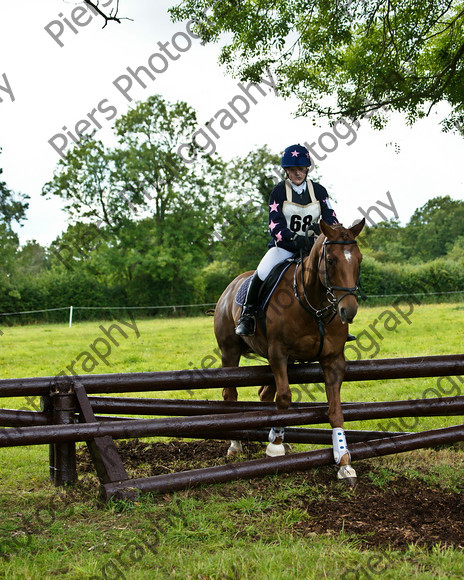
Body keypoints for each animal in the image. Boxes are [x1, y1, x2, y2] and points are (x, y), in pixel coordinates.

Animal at [215, 216, 366, 480]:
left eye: (359, 259)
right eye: (330, 260)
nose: (348, 311)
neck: (314, 305)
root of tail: (231, 286)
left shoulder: (333, 360)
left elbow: (335, 411)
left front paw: (344, 461)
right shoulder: (278, 353)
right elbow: (284, 399)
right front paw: (275, 446)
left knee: (264, 394)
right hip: (230, 352)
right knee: (230, 395)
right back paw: (236, 444)